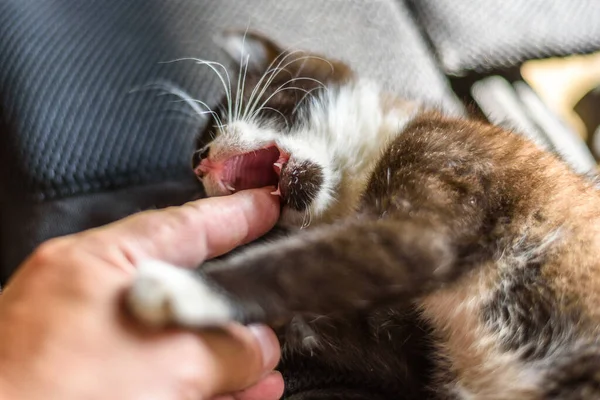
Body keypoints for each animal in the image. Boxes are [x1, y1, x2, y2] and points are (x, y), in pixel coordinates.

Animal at [124, 32, 600, 398]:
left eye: (221, 117)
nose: (198, 160)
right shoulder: (396, 345)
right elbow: (314, 310)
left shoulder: (435, 203)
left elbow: (303, 262)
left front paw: (178, 285)